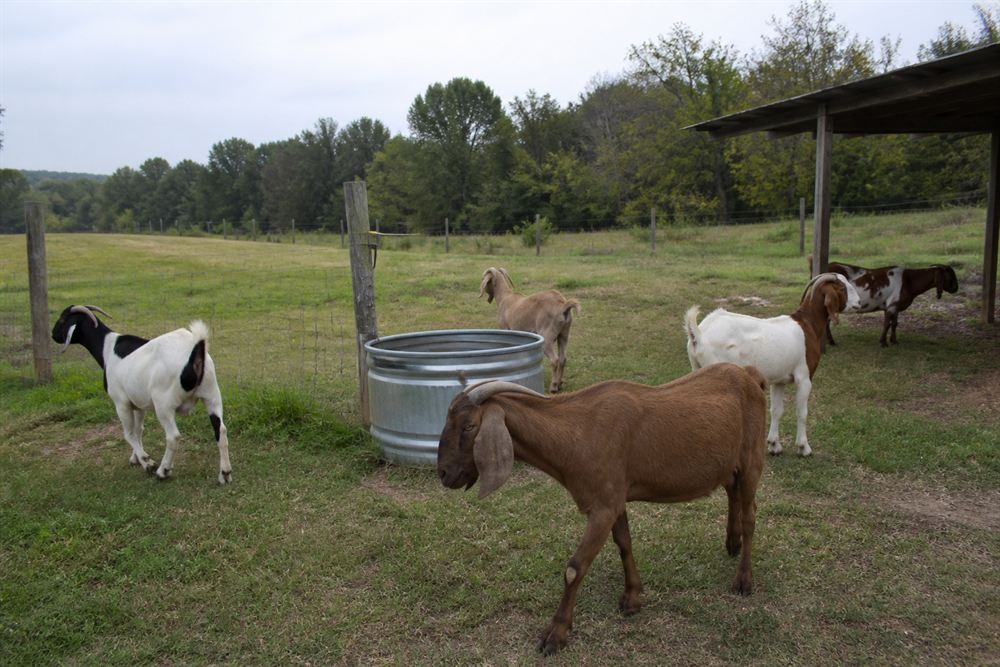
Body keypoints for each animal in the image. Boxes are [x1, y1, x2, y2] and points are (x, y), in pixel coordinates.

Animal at [51, 305, 232, 484]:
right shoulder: (138, 404)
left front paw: (147, 462)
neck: (107, 348)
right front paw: (135, 459)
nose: (53, 334)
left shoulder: (121, 402)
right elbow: (138, 430)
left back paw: (163, 471)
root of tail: (195, 351)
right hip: (211, 394)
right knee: (220, 430)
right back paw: (225, 473)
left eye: (63, 319)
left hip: (163, 404)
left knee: (173, 436)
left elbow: (129, 433)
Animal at [437, 363, 767, 655]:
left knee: (750, 515)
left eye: (469, 426)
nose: (444, 474)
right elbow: (624, 543)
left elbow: (574, 568)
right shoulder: (614, 499)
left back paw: (743, 580)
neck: (579, 432)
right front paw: (632, 598)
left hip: (752, 458)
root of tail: (750, 374)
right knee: (732, 493)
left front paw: (555, 635)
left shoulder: (603, 507)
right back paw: (732, 543)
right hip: (729, 464)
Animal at [684, 273, 860, 457]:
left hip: (697, 371)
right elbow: (802, 412)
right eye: (842, 288)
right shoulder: (804, 377)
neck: (807, 324)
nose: (859, 303)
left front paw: (774, 445)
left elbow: (776, 410)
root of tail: (698, 335)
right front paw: (804, 447)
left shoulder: (779, 381)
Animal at [825, 261, 959, 347]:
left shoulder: (894, 307)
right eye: (950, 276)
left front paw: (894, 341)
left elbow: (894, 324)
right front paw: (883, 342)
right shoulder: (892, 305)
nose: (956, 288)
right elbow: (887, 324)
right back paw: (831, 341)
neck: (909, 281)